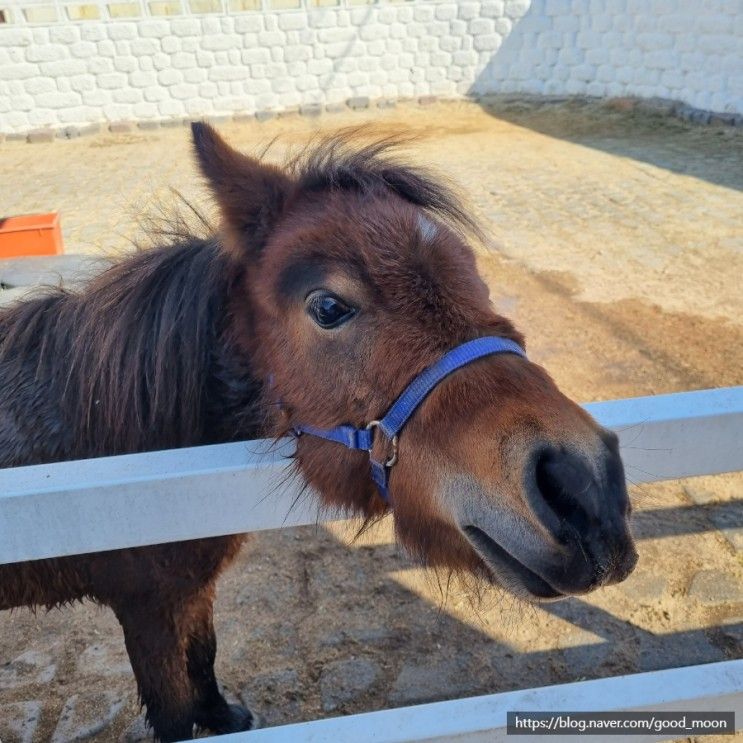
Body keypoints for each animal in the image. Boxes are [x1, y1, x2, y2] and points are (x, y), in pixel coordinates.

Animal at [1, 125, 640, 740]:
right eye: (329, 306)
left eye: (476, 275)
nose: (584, 491)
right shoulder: (147, 606)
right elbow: (175, 708)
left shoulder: (191, 588)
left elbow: (204, 655)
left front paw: (225, 718)